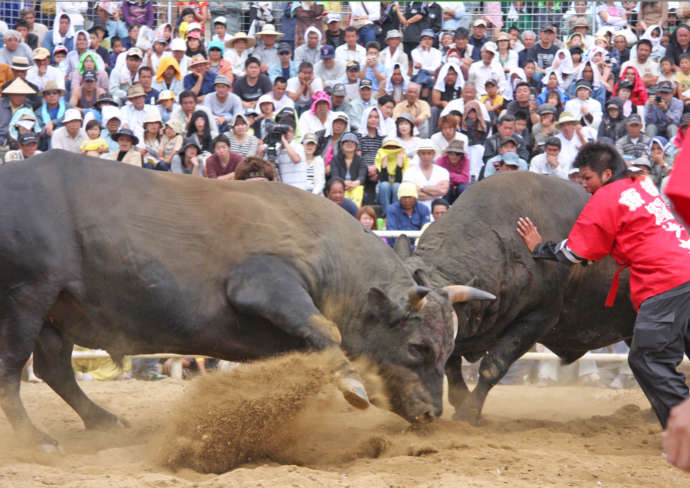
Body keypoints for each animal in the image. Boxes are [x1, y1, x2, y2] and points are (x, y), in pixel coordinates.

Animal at [0, 152, 492, 450]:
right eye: (417, 347)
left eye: (447, 350)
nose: (431, 413)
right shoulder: (261, 284)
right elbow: (326, 330)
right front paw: (350, 384)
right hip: (25, 299)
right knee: (12, 371)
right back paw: (35, 438)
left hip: (54, 311)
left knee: (54, 369)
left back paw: (103, 421)